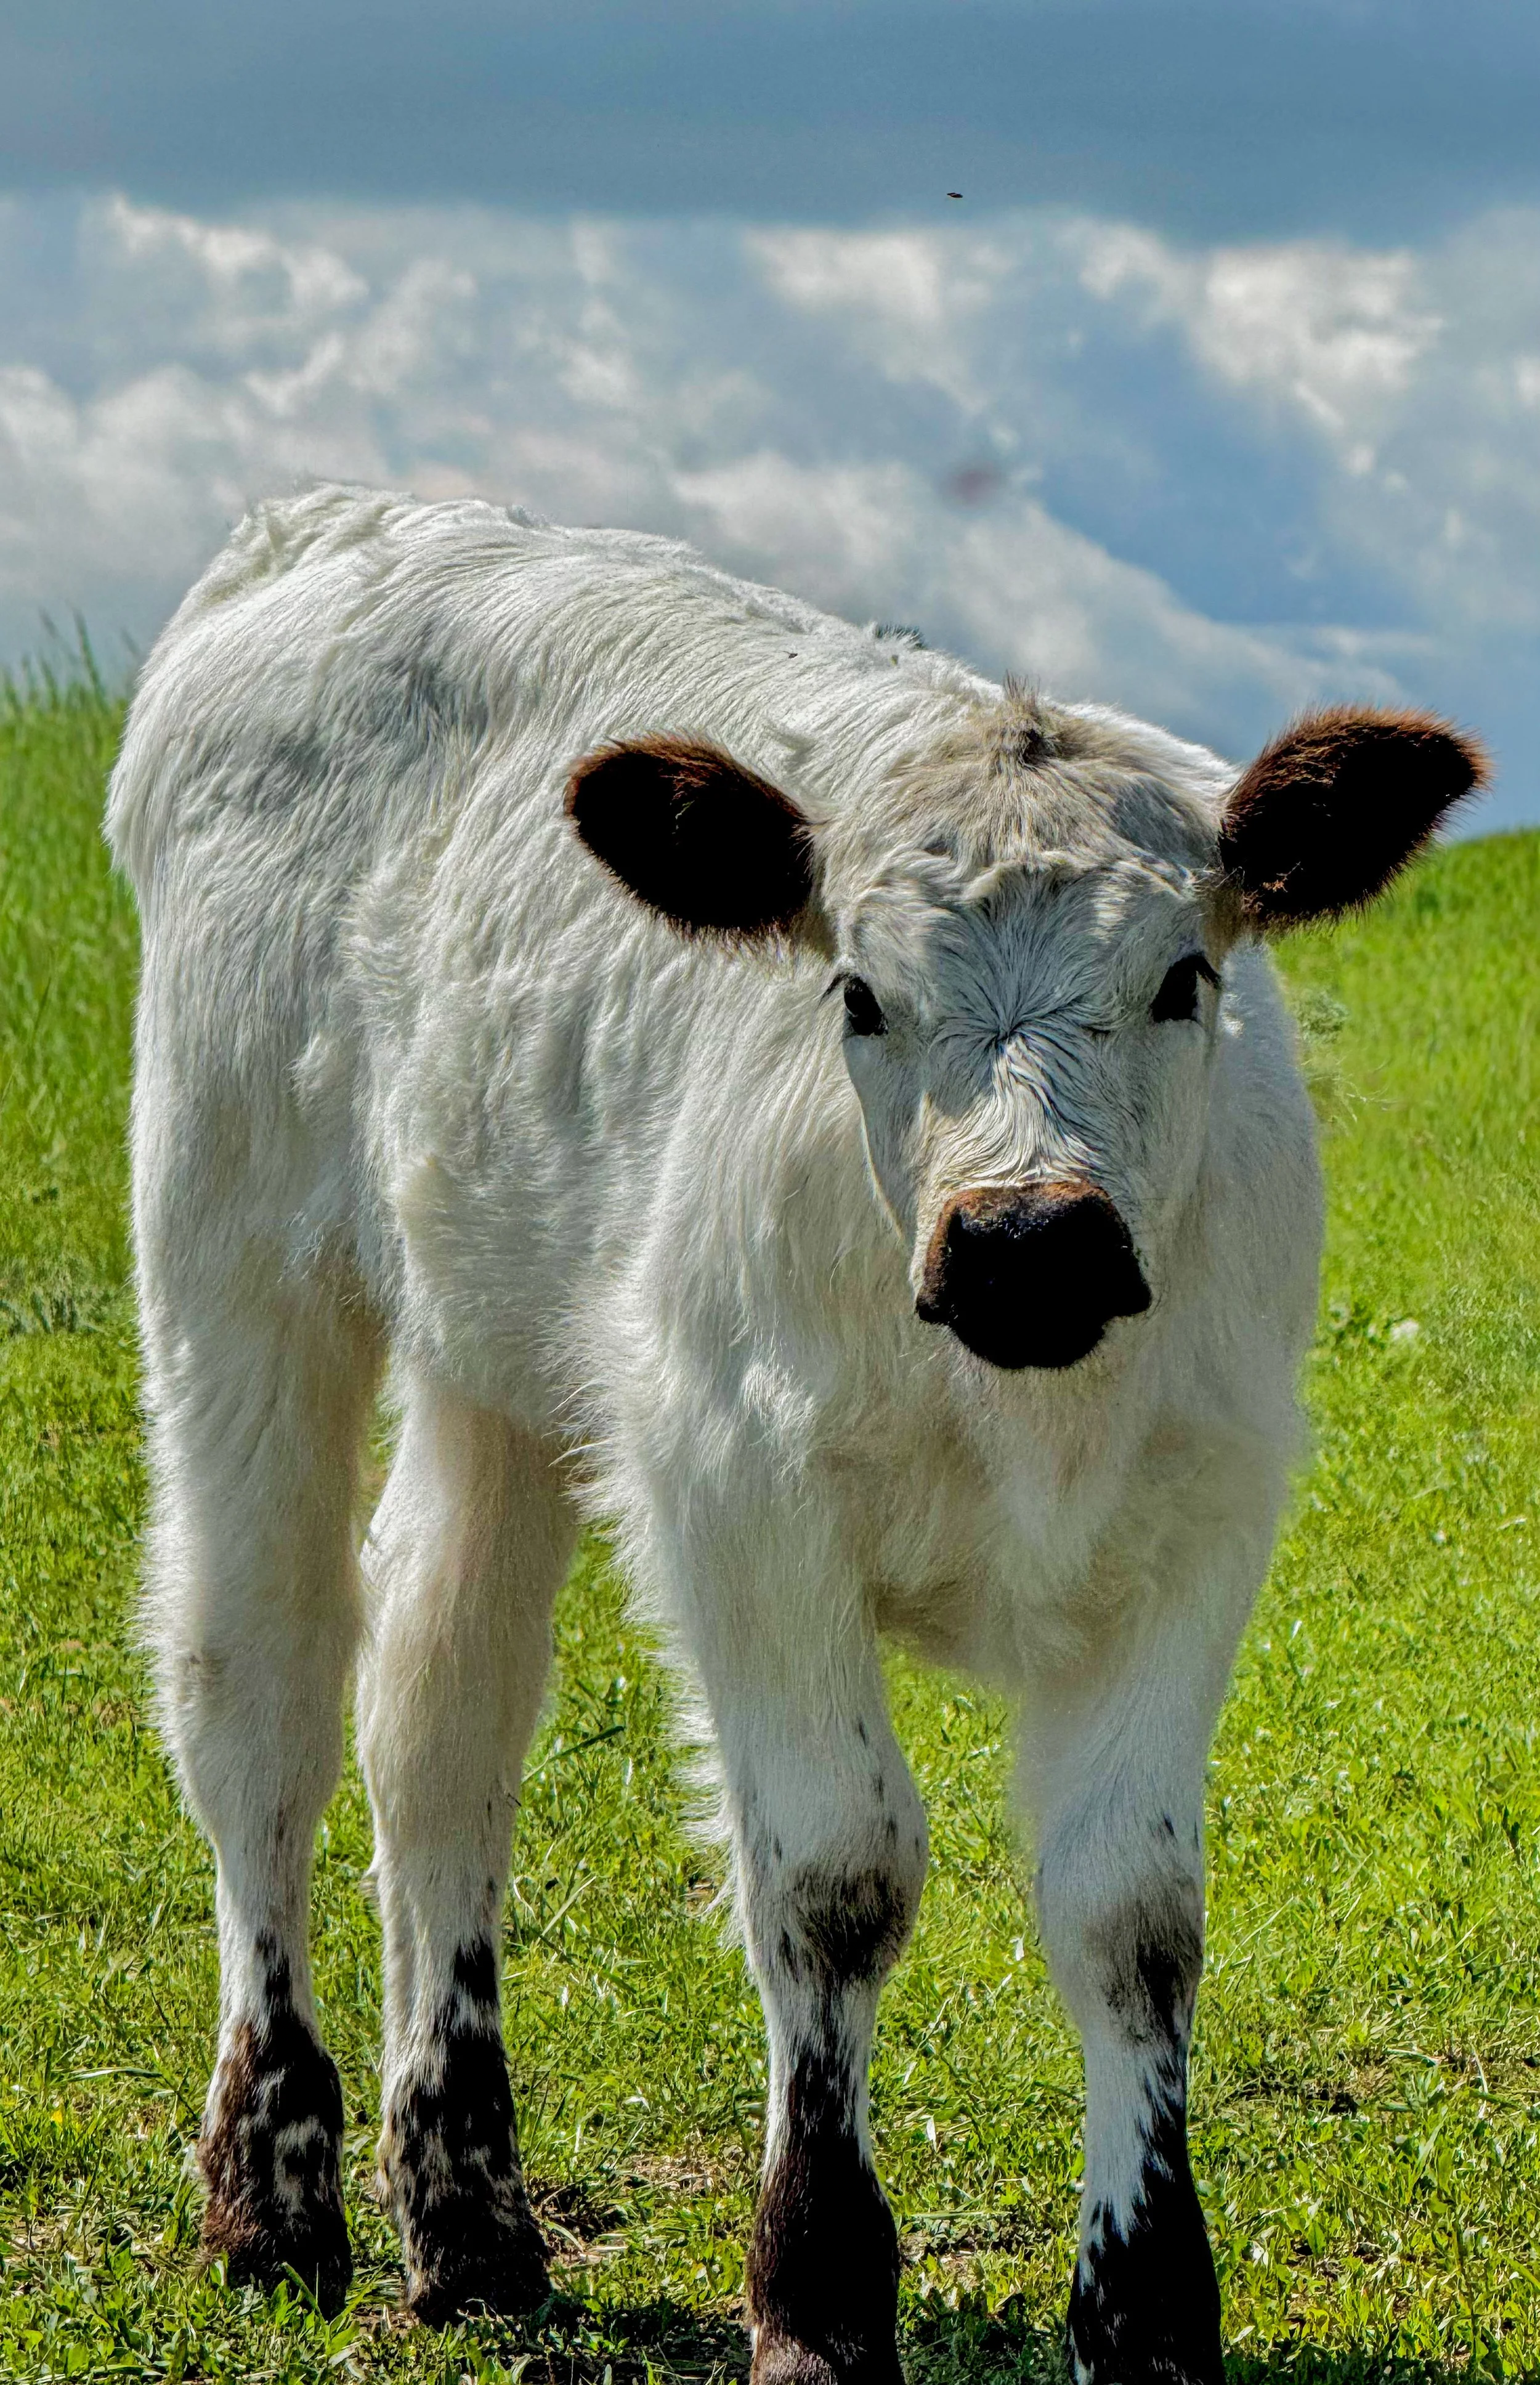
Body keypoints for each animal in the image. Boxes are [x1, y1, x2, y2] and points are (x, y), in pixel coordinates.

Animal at [106, 482, 1484, 2383]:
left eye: (1182, 978)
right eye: (856, 996)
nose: (1026, 1241)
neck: (1022, 1405)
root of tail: (354, 520)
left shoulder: (1204, 1510)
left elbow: (1131, 1915)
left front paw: (1145, 2310)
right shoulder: (734, 1489)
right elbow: (833, 1874)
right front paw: (818, 2293)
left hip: (496, 1348)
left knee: (438, 1709)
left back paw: (469, 2224)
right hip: (236, 1251)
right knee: (263, 1689)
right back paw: (272, 2192)